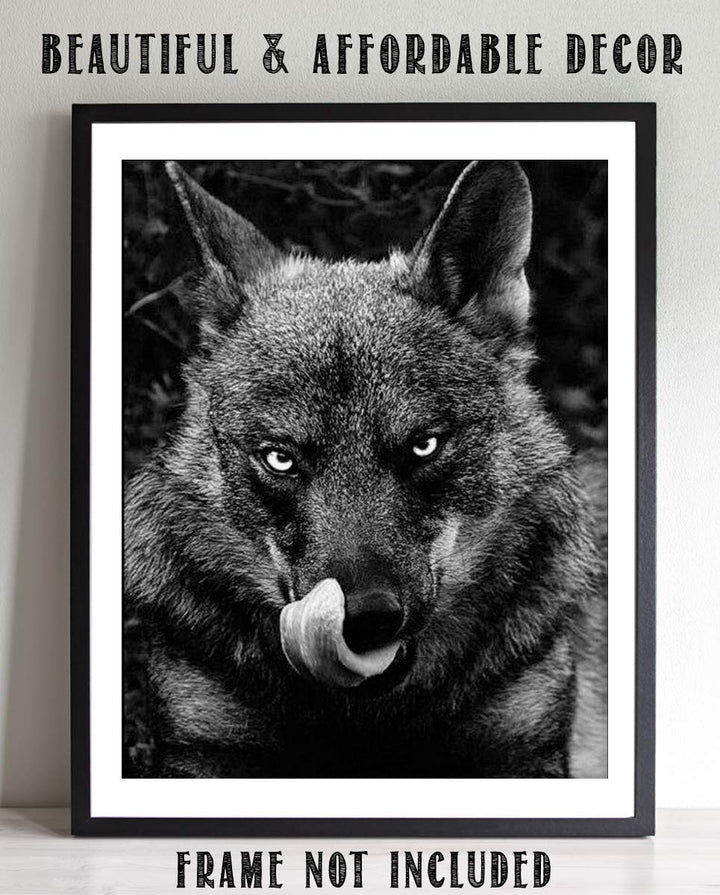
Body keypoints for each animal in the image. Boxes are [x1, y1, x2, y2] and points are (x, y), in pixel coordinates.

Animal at [124, 160, 607, 779]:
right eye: (280, 458)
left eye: (424, 446)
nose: (367, 618)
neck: (368, 725)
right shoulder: (203, 749)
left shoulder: (521, 753)